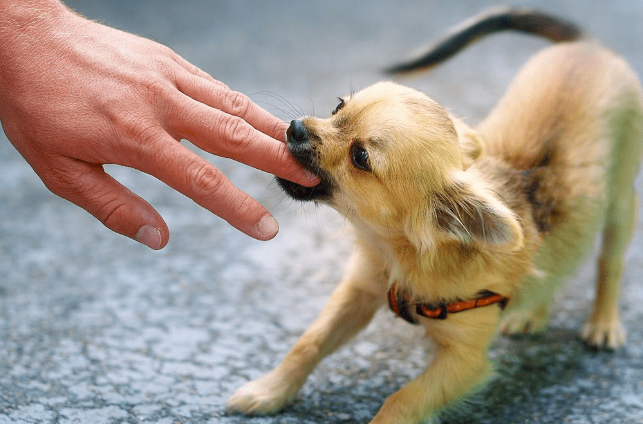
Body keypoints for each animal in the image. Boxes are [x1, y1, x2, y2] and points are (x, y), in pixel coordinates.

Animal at [228, 7, 643, 424]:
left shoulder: (465, 361)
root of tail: (588, 47)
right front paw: (269, 391)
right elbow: (308, 343)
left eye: (360, 157)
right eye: (337, 107)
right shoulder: (360, 290)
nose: (295, 128)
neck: (400, 252)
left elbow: (402, 401)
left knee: (610, 262)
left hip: (621, 203)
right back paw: (532, 313)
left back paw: (603, 323)